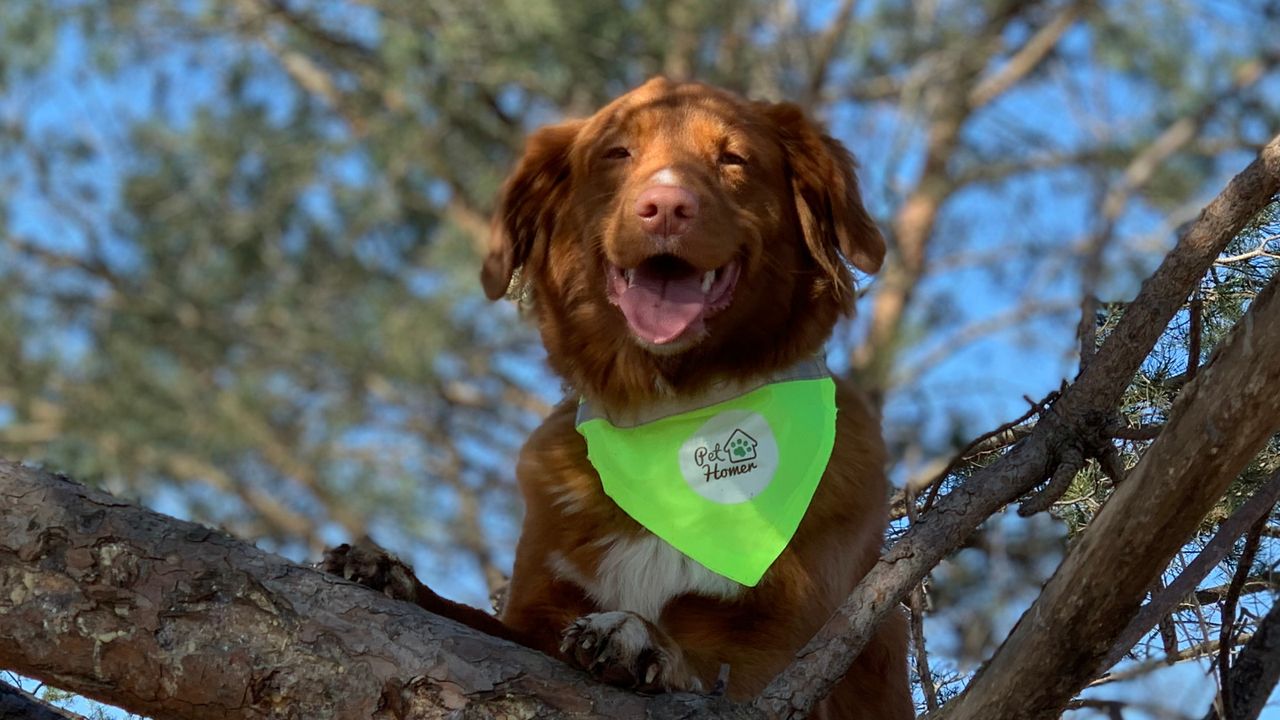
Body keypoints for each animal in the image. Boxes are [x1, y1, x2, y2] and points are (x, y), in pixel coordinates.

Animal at [325, 78, 916, 717]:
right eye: (617, 153)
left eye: (734, 159)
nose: (666, 207)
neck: (671, 412)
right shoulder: (534, 618)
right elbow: (474, 623)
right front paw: (393, 576)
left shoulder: (787, 652)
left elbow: (707, 665)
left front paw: (637, 637)